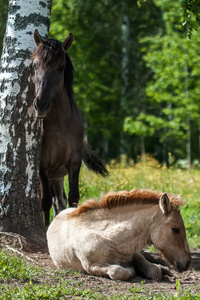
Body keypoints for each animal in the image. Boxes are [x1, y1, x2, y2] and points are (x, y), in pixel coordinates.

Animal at [32, 29, 108, 225]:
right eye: (35, 65)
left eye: (60, 67)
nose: (41, 105)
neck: (60, 123)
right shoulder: (43, 166)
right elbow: (44, 202)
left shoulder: (74, 163)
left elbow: (73, 198)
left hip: (57, 176)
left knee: (60, 201)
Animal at [46, 189, 191, 280]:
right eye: (175, 229)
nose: (187, 262)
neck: (111, 240)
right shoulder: (91, 266)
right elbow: (119, 272)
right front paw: (131, 270)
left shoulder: (134, 254)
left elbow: (153, 269)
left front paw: (158, 268)